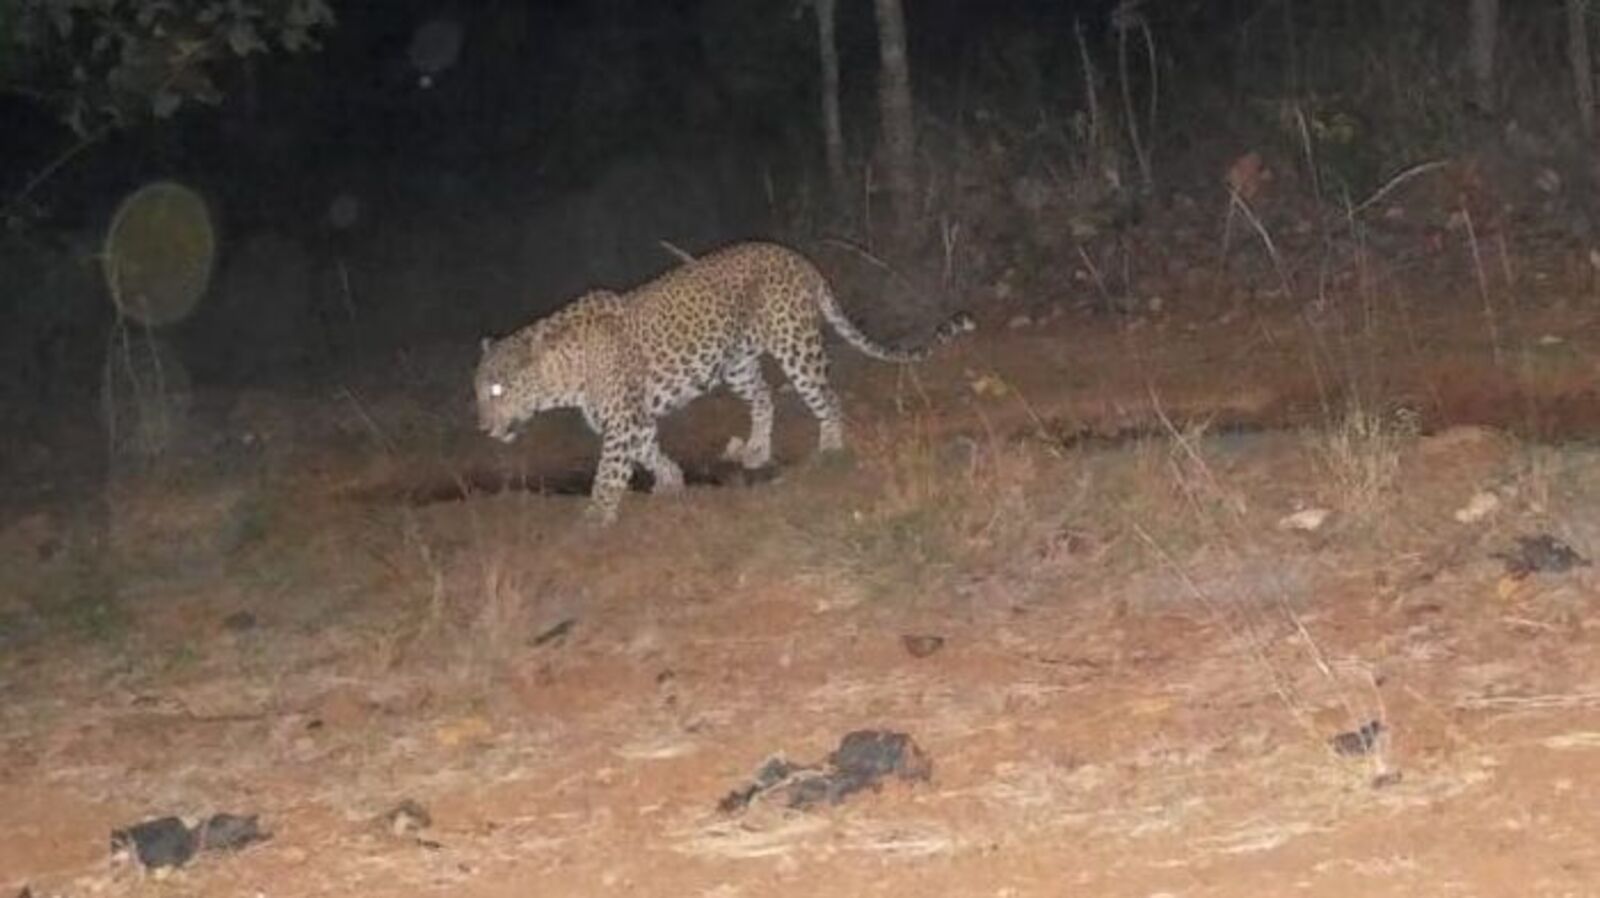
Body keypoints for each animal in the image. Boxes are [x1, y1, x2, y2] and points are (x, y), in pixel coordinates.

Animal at [473, 241, 973, 524]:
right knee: (765, 397)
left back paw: (831, 446)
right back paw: (756, 450)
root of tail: (796, 258)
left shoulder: (623, 422)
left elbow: (608, 472)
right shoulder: (634, 421)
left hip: (796, 347)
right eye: (477, 393)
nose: (482, 427)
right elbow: (650, 451)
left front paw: (595, 516)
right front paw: (671, 481)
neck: (564, 374)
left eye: (499, 391)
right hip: (736, 364)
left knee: (827, 397)